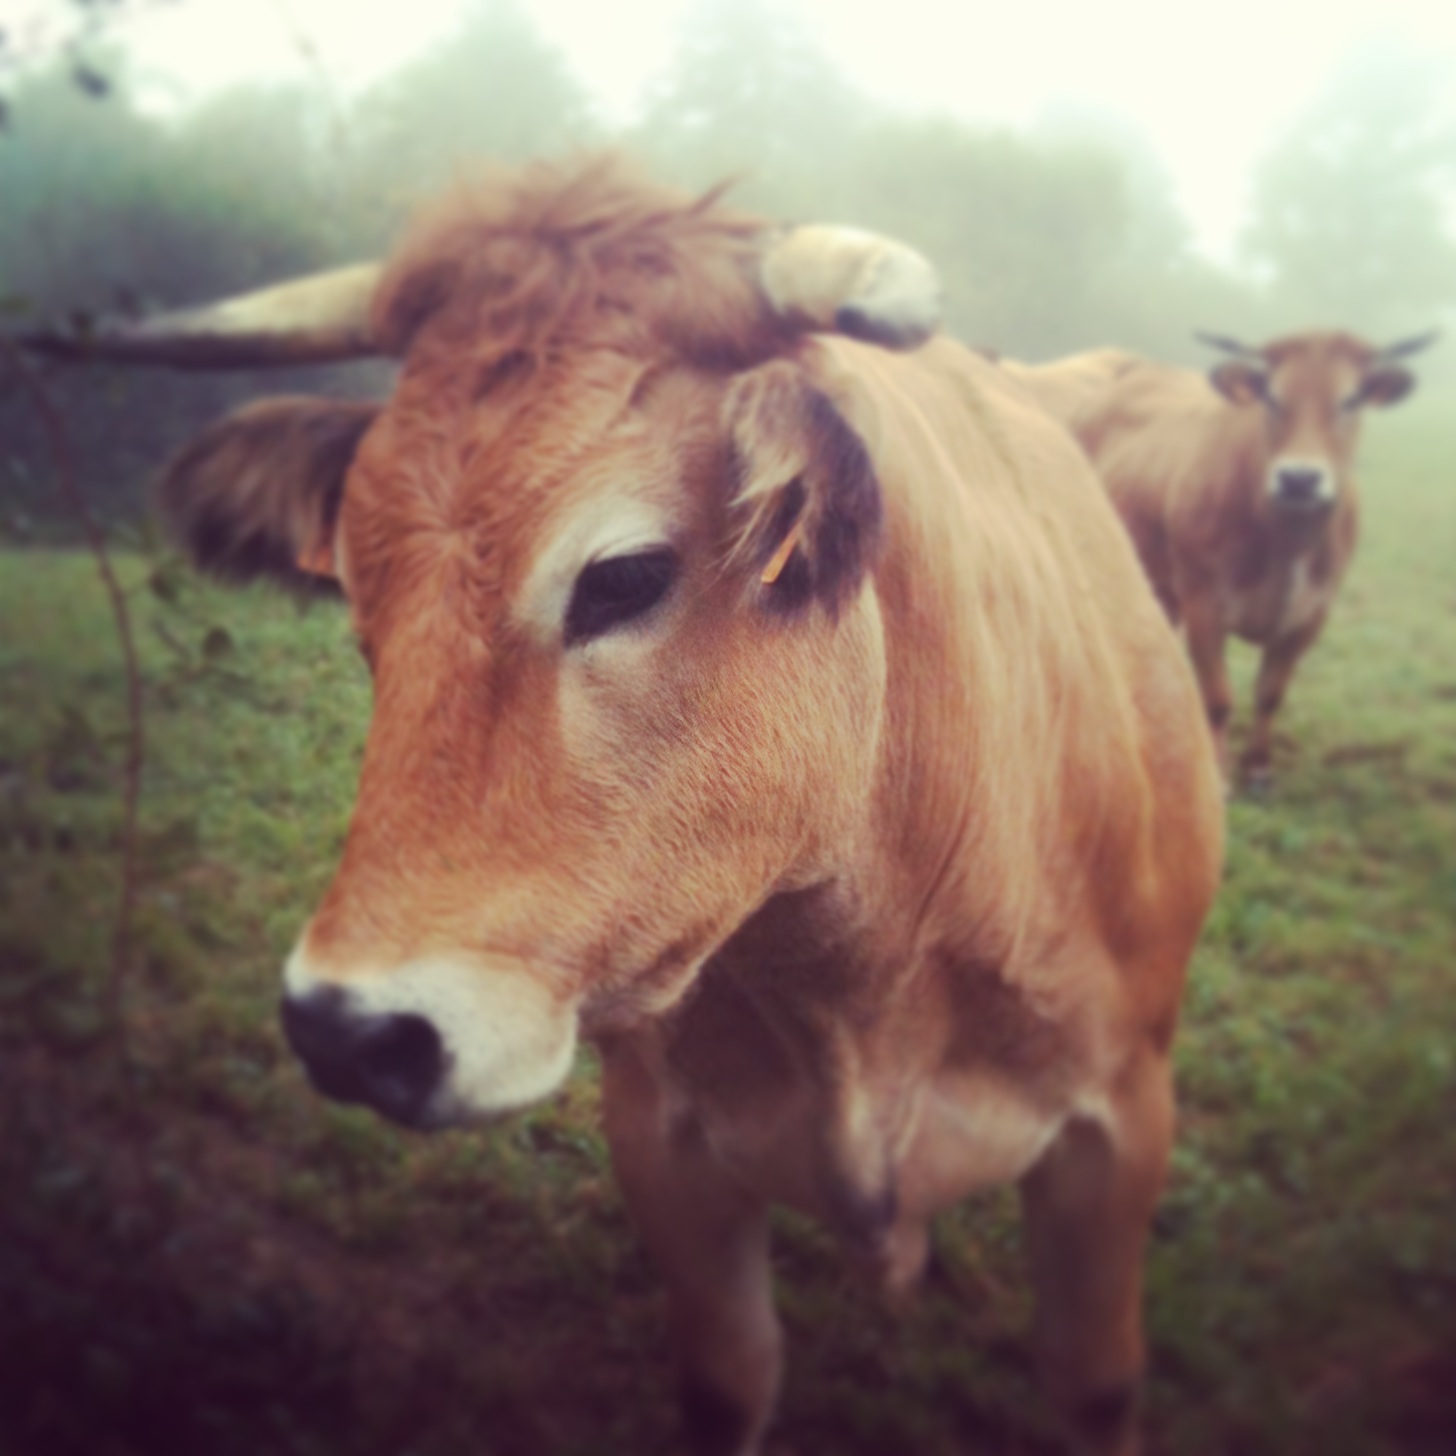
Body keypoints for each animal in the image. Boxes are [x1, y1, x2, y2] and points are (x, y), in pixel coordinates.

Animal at [27, 159, 1223, 1456]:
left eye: (625, 575)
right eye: (358, 592)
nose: (347, 1032)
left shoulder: (1119, 1124)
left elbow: (1094, 1381)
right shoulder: (664, 1142)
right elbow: (727, 1375)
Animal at [1002, 331, 1436, 789]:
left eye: (1351, 399)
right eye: (1271, 397)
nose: (1299, 479)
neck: (1284, 540)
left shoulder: (1311, 614)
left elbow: (1270, 694)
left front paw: (1259, 768)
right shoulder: (1204, 603)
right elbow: (1219, 698)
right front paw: (1220, 774)